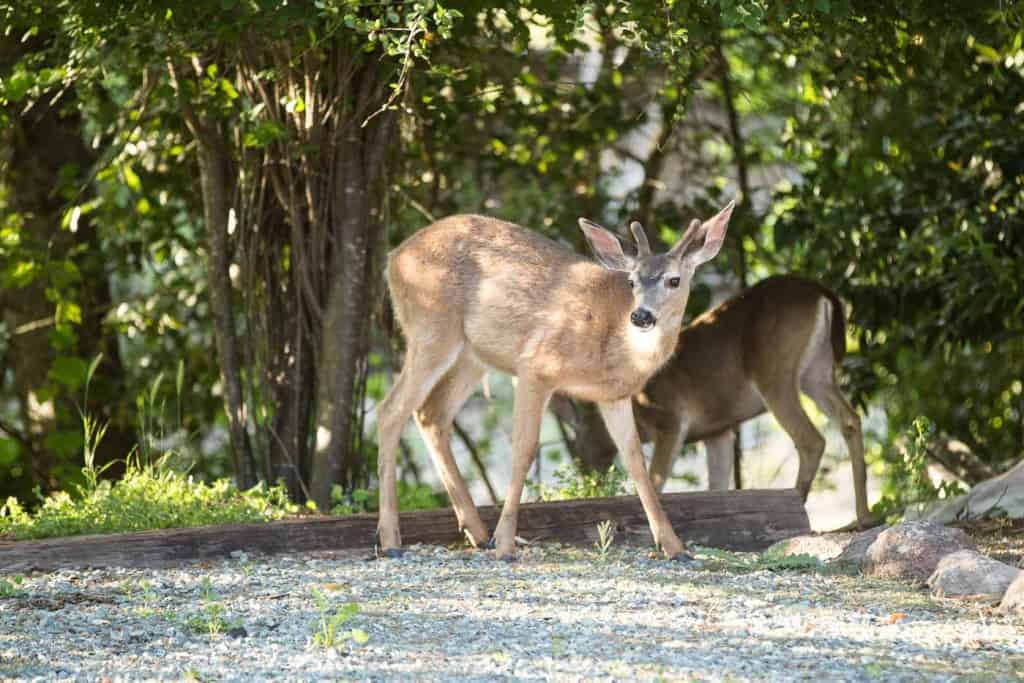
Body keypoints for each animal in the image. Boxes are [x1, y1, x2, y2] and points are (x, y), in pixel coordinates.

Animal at [376, 200, 737, 557]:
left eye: (674, 280)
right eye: (632, 282)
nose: (641, 316)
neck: (613, 339)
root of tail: (394, 257)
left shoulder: (614, 396)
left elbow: (636, 462)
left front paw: (675, 547)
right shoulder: (534, 367)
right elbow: (524, 450)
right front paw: (505, 544)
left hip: (472, 354)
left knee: (431, 414)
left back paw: (475, 532)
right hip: (431, 329)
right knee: (390, 411)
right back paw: (392, 540)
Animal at [634, 274, 868, 528]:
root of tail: (820, 291)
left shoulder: (670, 421)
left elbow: (653, 482)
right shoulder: (717, 432)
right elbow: (716, 486)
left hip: (775, 374)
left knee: (811, 440)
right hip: (817, 372)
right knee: (850, 420)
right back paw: (862, 518)